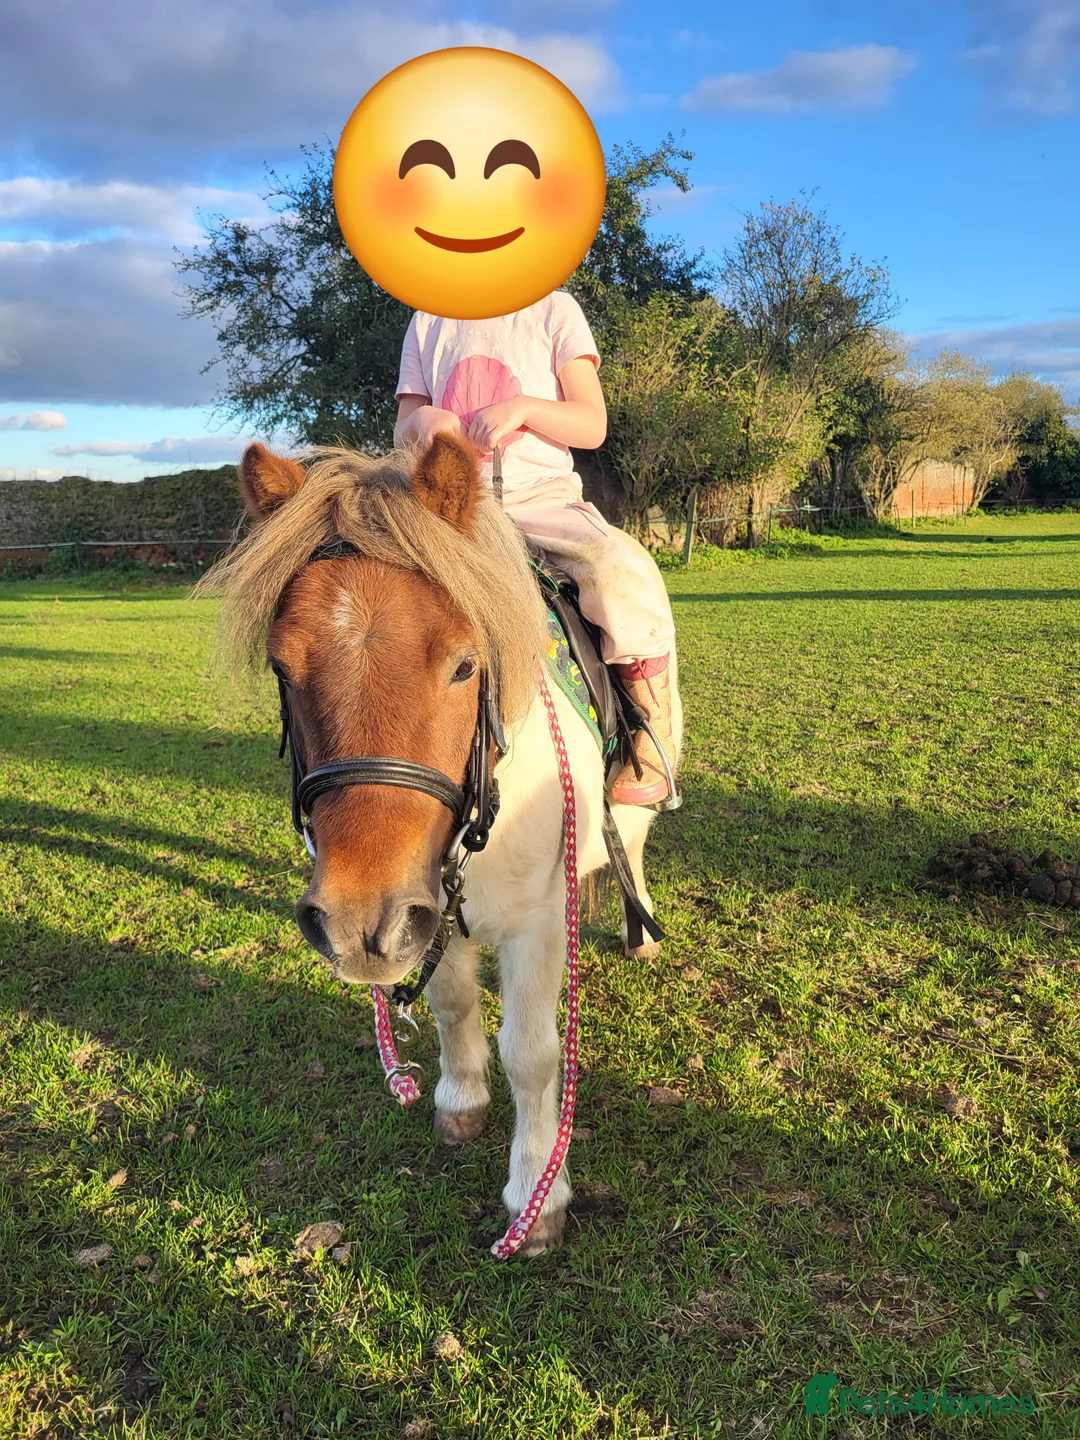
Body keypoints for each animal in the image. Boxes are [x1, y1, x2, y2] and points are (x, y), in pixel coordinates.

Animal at [199, 433, 682, 1253]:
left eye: (463, 664)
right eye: (281, 667)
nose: (355, 922)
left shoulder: (533, 927)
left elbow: (533, 1053)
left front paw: (536, 1199)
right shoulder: (428, 910)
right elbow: (454, 1005)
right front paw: (460, 1102)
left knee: (635, 843)